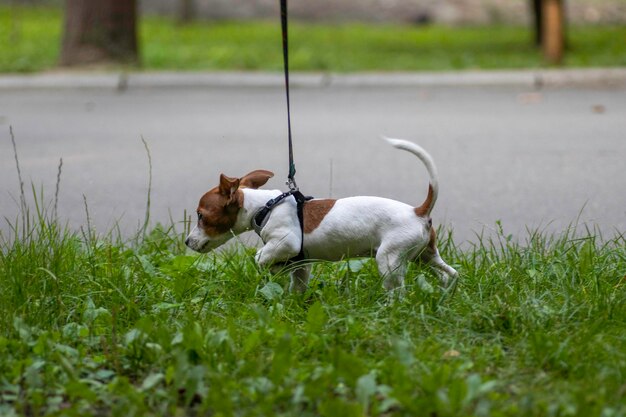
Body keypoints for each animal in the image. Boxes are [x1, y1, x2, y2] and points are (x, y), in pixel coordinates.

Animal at [183, 138, 456, 290]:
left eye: (201, 216)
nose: (186, 241)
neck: (265, 207)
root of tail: (418, 212)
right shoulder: (301, 265)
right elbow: (297, 284)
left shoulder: (287, 242)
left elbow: (261, 257)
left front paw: (267, 265)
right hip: (425, 256)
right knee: (449, 274)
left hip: (389, 260)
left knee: (398, 292)